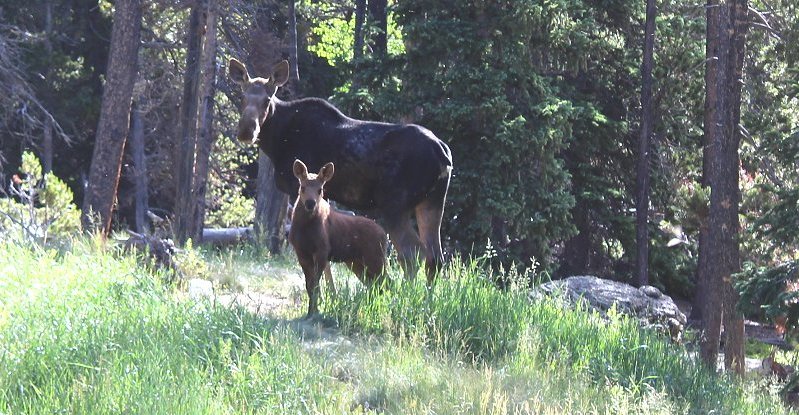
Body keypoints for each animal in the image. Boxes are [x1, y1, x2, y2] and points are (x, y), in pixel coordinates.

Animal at [228, 58, 454, 282]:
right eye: (242, 96)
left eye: (267, 100)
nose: (246, 131)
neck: (276, 142)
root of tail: (442, 151)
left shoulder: (295, 188)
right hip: (432, 201)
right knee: (435, 255)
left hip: (395, 203)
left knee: (411, 252)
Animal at [290, 159, 390, 316]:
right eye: (302, 187)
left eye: (320, 189)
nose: (310, 203)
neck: (305, 229)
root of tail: (384, 235)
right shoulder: (301, 253)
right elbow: (309, 286)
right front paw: (311, 312)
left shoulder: (322, 251)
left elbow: (316, 285)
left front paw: (314, 312)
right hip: (356, 263)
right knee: (374, 285)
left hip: (376, 259)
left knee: (387, 283)